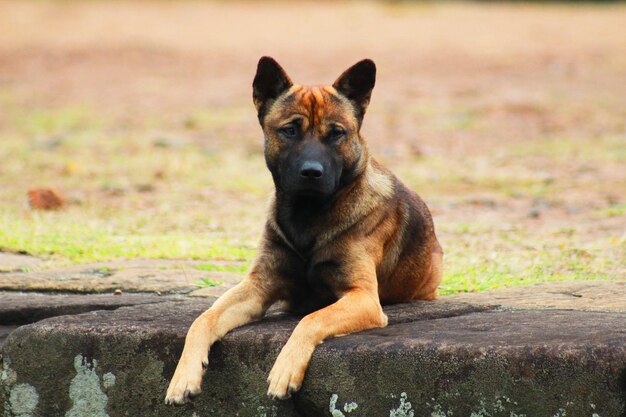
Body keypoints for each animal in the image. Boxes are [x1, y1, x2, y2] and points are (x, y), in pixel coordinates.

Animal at [163, 56, 442, 404]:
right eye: (290, 130)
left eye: (336, 134)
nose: (312, 172)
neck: (308, 215)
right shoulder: (257, 288)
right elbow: (203, 319)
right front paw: (183, 376)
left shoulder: (363, 298)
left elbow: (312, 318)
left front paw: (285, 369)